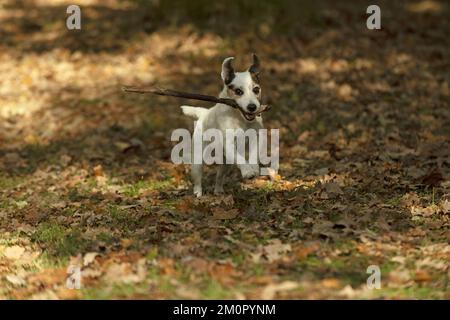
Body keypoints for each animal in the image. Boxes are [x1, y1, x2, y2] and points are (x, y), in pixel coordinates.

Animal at [182, 53, 266, 196]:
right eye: (238, 91)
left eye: (256, 89)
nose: (252, 107)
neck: (240, 118)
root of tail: (204, 113)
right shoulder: (229, 144)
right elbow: (240, 158)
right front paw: (248, 171)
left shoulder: (257, 137)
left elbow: (254, 153)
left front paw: (254, 167)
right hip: (198, 160)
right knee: (198, 178)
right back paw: (198, 192)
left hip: (226, 163)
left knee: (219, 176)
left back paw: (218, 190)